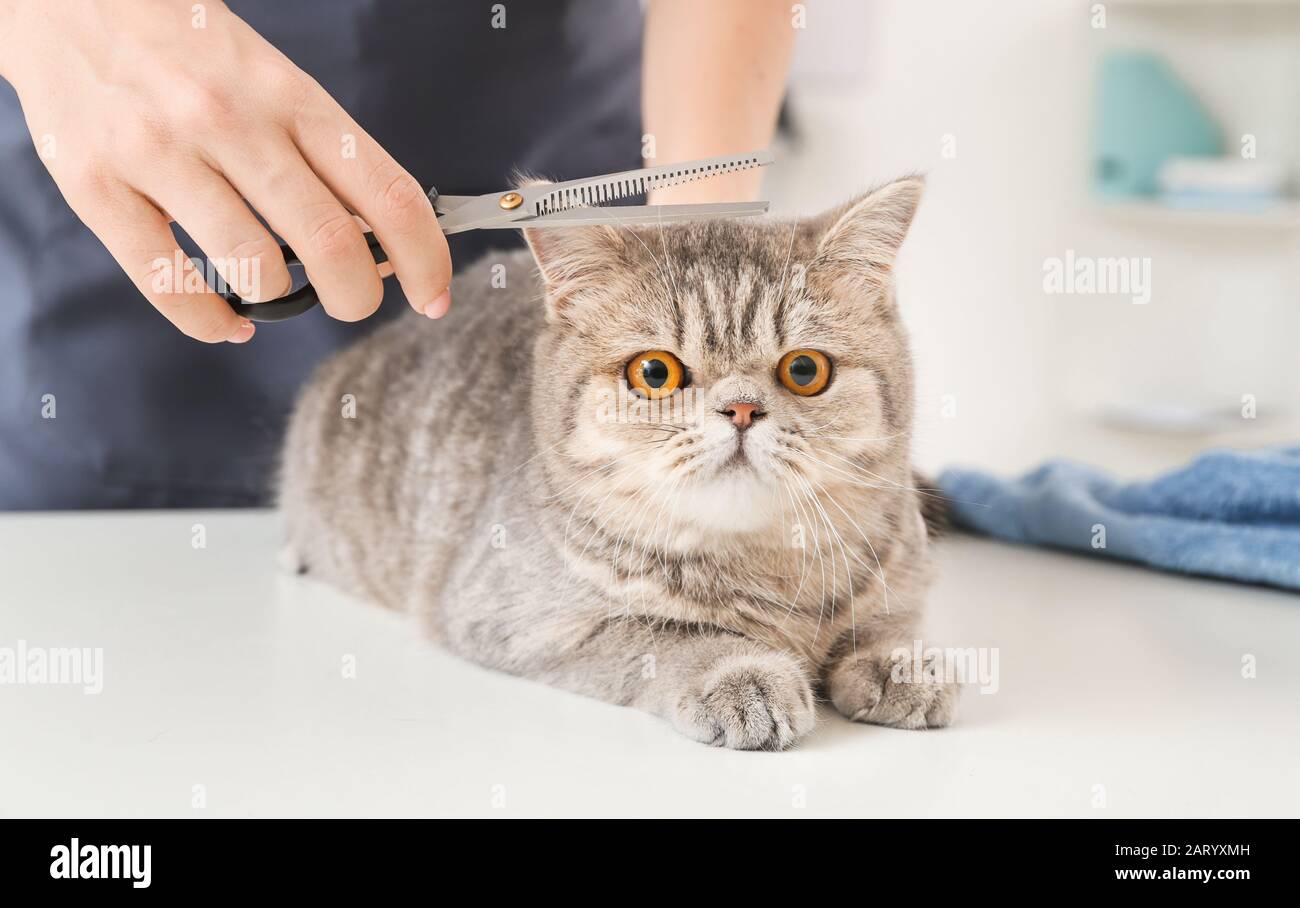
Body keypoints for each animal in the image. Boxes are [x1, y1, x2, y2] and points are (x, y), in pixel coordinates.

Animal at [282, 173, 956, 744]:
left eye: (805, 370)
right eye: (654, 373)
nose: (740, 409)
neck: (765, 569)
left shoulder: (905, 570)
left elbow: (888, 619)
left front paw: (898, 662)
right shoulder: (511, 618)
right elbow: (667, 634)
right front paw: (740, 670)